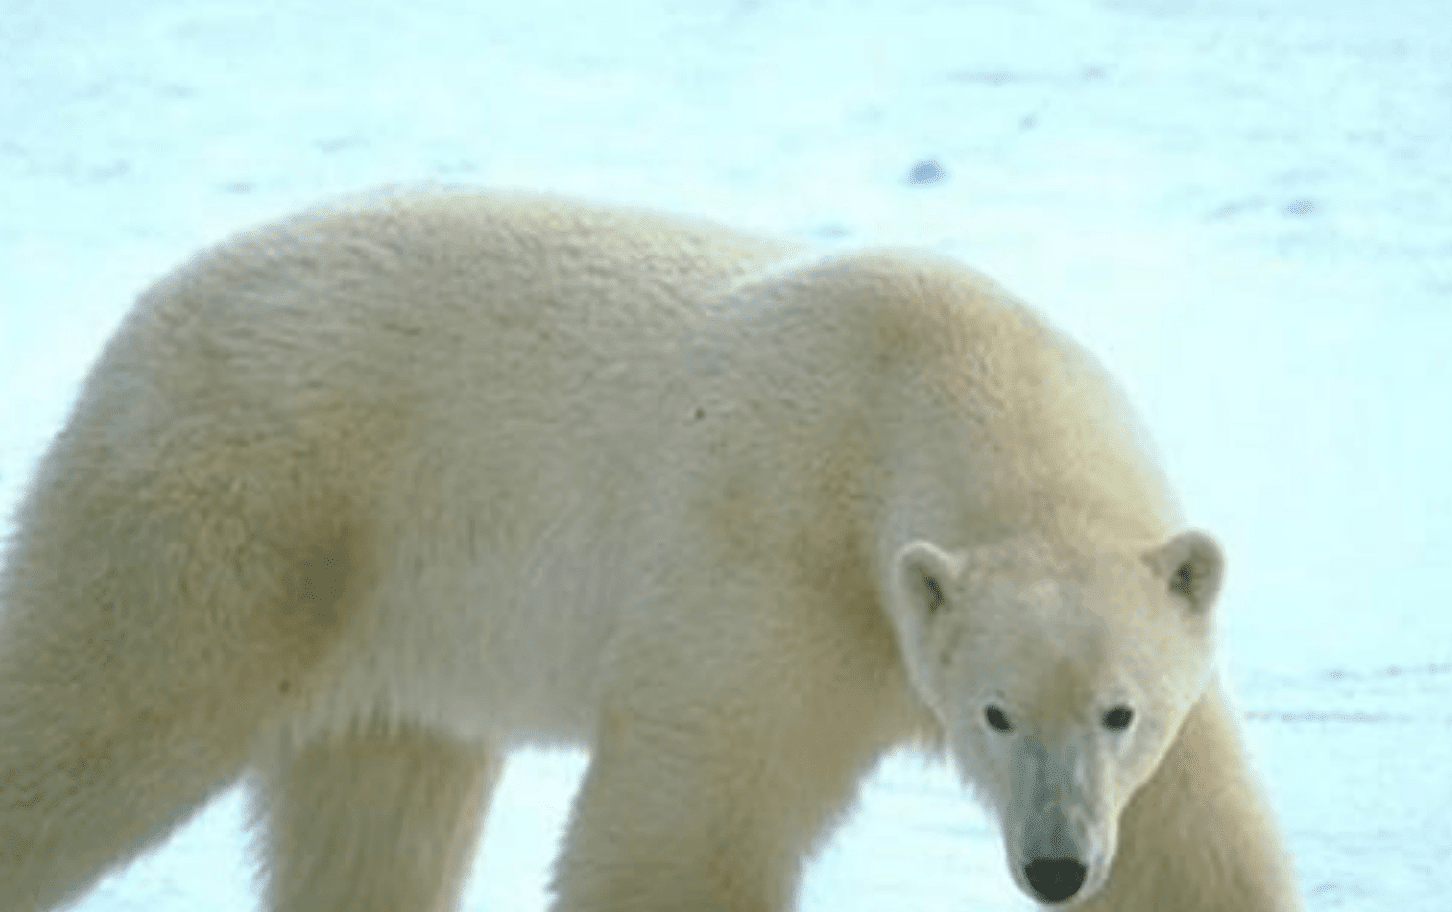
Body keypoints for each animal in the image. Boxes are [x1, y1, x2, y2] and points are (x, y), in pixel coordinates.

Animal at [2, 187, 1306, 912]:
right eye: (993, 713)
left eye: (1121, 712)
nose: (1055, 866)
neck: (935, 371)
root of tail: (152, 306)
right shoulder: (777, 552)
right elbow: (689, 832)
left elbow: (1194, 858)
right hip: (235, 518)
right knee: (95, 713)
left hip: (397, 623)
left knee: (377, 814)